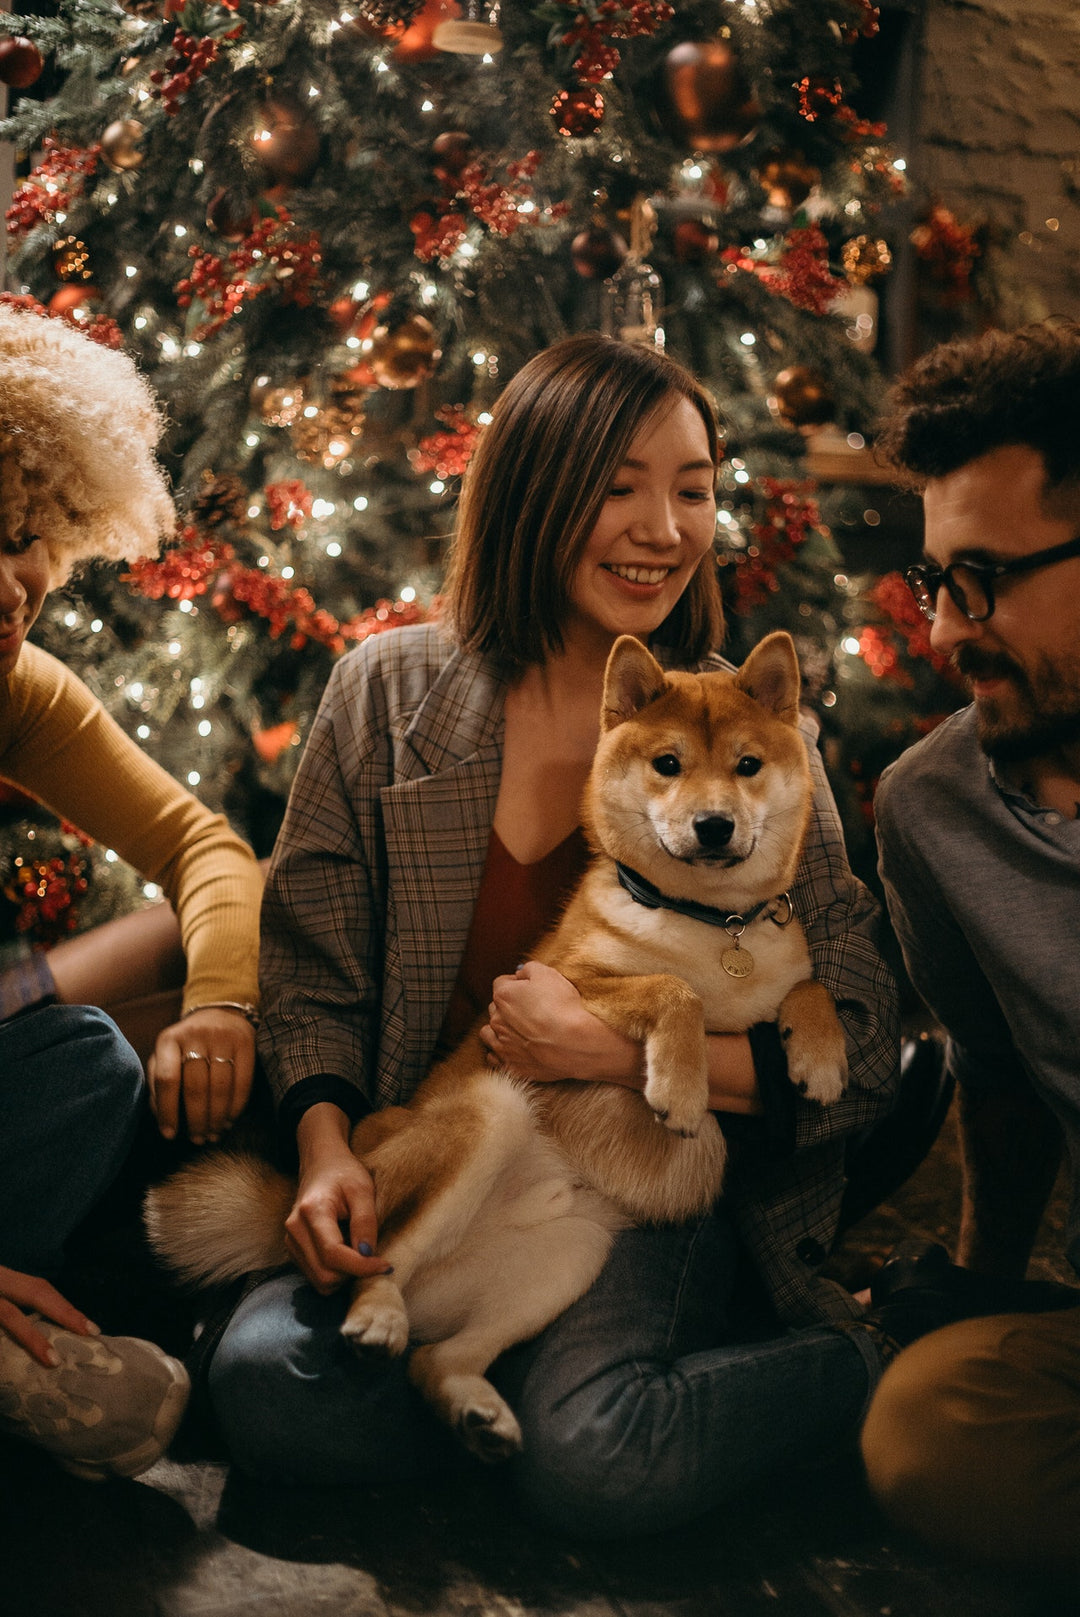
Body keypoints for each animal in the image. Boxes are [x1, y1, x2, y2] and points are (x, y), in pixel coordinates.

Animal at [145, 633, 840, 1468]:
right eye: (668, 763)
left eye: (748, 765)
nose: (713, 825)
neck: (710, 924)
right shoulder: (563, 978)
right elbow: (675, 991)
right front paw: (681, 1086)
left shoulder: (778, 959)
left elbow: (811, 988)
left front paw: (820, 1057)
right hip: (484, 1117)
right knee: (382, 1259)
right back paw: (377, 1317)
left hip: (570, 1254)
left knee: (434, 1357)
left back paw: (474, 1408)